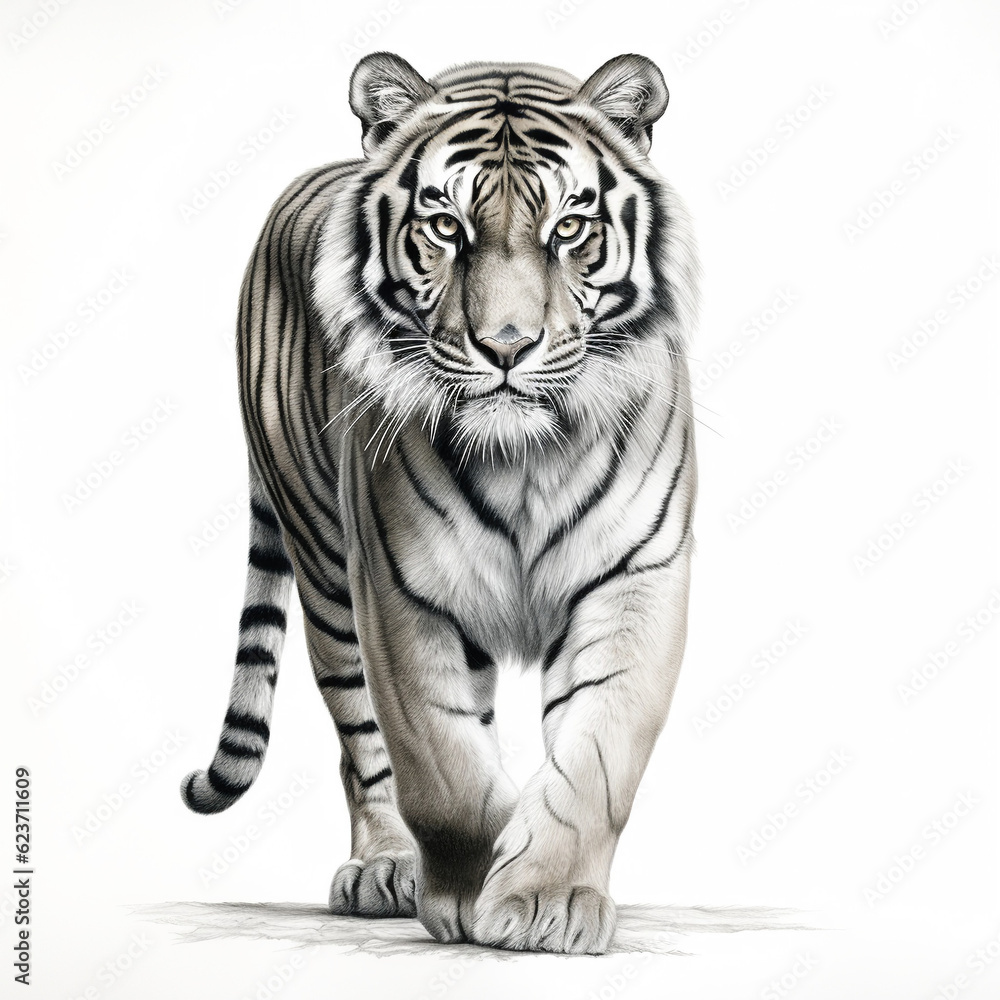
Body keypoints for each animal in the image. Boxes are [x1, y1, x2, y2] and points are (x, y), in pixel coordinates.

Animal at [181, 51, 698, 955]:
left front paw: (548, 902)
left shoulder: (636, 578)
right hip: (326, 572)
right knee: (362, 742)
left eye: (569, 228)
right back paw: (388, 868)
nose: (506, 346)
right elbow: (441, 764)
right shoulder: (401, 589)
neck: (528, 457)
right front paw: (464, 895)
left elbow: (595, 757)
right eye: (446, 226)